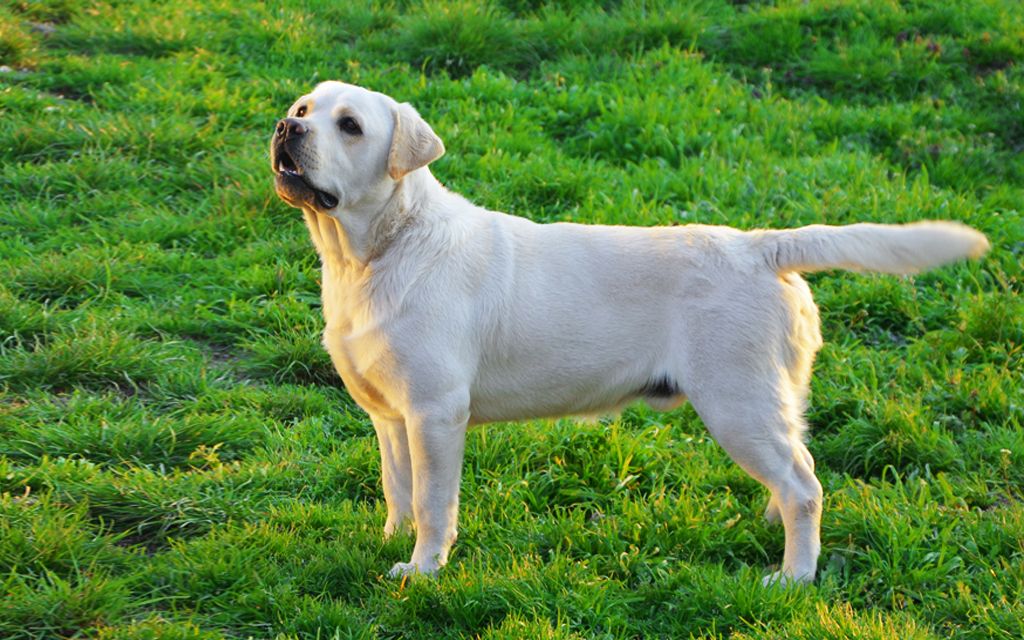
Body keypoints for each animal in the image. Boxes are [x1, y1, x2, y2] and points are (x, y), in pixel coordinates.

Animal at [268, 79, 987, 585]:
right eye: (305, 107)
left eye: (351, 126)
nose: (285, 126)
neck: (372, 253)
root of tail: (762, 246)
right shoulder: (391, 415)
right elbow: (399, 488)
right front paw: (390, 540)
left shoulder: (436, 413)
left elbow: (434, 502)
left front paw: (423, 570)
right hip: (773, 398)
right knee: (797, 470)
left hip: (736, 401)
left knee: (806, 488)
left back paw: (793, 577)